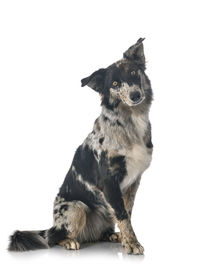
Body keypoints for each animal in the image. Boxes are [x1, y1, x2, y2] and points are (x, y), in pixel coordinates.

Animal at [8, 38, 153, 255]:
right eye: (115, 84)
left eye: (134, 73)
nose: (135, 95)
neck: (129, 123)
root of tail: (52, 227)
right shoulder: (109, 181)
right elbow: (122, 214)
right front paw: (132, 243)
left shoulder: (134, 181)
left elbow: (126, 213)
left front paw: (127, 240)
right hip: (76, 208)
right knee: (53, 238)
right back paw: (68, 241)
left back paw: (113, 236)